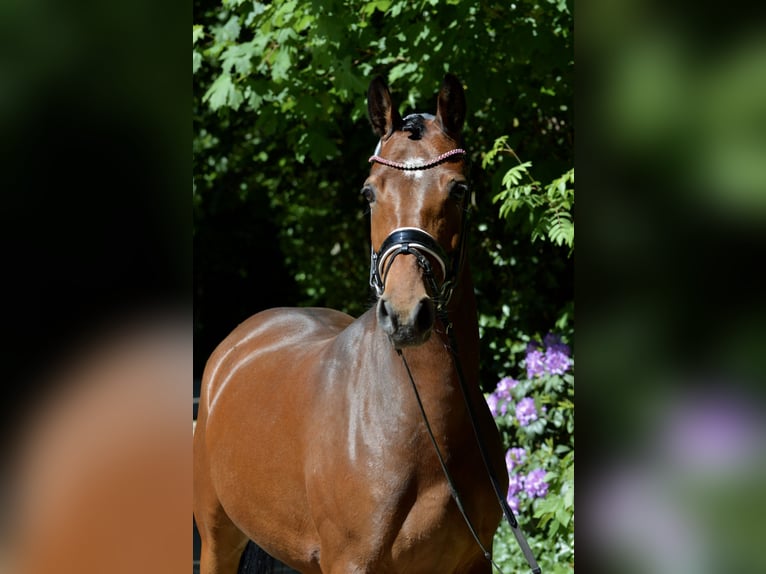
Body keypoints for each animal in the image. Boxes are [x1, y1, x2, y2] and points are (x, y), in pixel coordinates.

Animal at [193, 74, 510, 574]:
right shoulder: (351, 562)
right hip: (217, 537)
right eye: (369, 193)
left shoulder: (474, 562)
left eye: (458, 190)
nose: (405, 313)